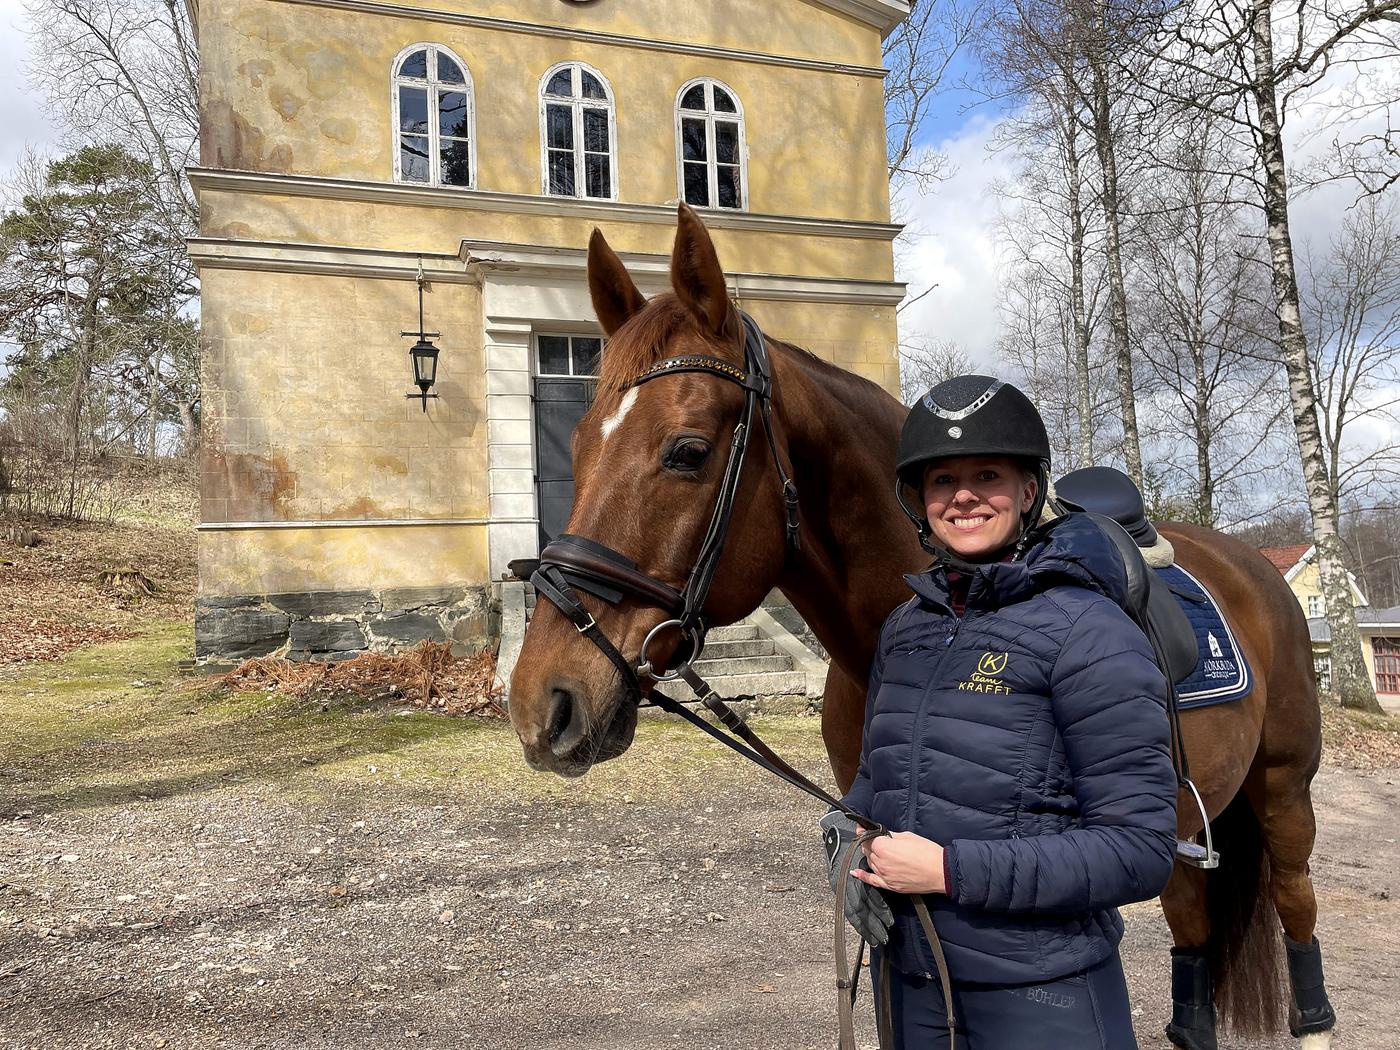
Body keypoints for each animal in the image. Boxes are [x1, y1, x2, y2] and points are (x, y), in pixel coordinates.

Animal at [509, 205, 1327, 1050]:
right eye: (577, 444)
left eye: (687, 451)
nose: (541, 702)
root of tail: (1251, 564)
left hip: (1283, 794)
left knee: (1298, 916)